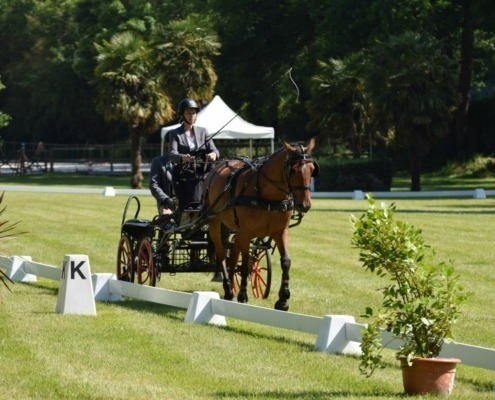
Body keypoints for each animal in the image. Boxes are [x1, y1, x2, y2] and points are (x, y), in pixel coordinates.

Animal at [203, 139, 320, 310]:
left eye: (312, 169)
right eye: (293, 170)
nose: (304, 205)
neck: (268, 195)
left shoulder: (281, 231)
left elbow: (286, 262)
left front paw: (283, 300)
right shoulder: (247, 232)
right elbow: (245, 264)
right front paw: (243, 295)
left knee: (233, 256)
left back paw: (230, 289)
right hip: (215, 223)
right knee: (223, 255)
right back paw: (229, 289)